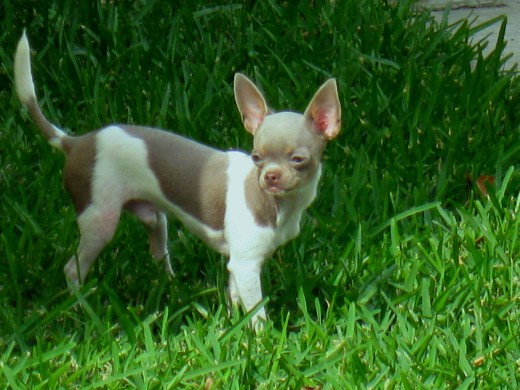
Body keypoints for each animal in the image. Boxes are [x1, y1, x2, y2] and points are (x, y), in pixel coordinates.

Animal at [13, 32, 342, 330]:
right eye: (256, 157)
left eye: (297, 159)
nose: (270, 176)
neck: (282, 204)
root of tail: (76, 142)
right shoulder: (246, 265)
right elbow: (256, 312)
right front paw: (262, 341)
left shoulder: (238, 263)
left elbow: (236, 297)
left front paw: (233, 326)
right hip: (99, 220)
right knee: (73, 269)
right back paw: (81, 306)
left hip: (153, 218)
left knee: (157, 248)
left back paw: (170, 285)